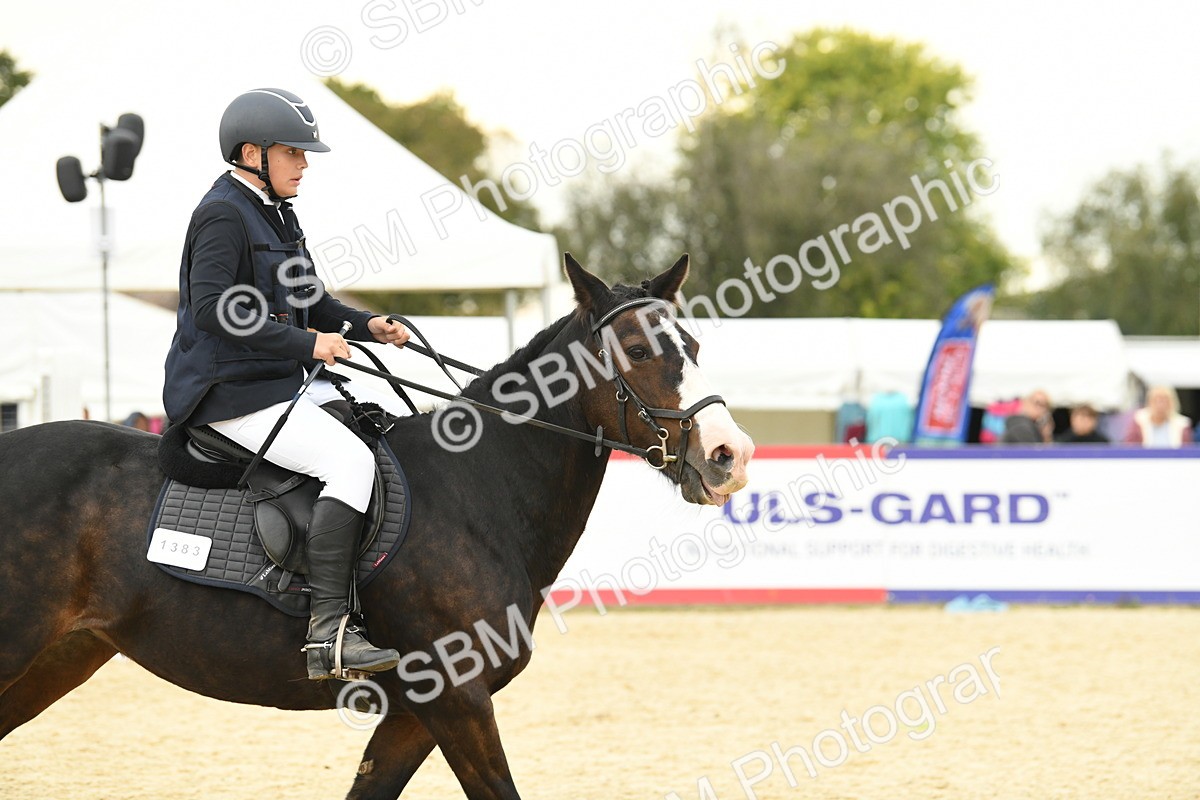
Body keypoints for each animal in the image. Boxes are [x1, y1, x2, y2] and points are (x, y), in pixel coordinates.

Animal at [0, 254, 754, 799]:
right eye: (637, 350)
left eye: (690, 343)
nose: (729, 454)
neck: (477, 490)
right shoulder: (456, 698)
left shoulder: (414, 715)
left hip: (56, 659)